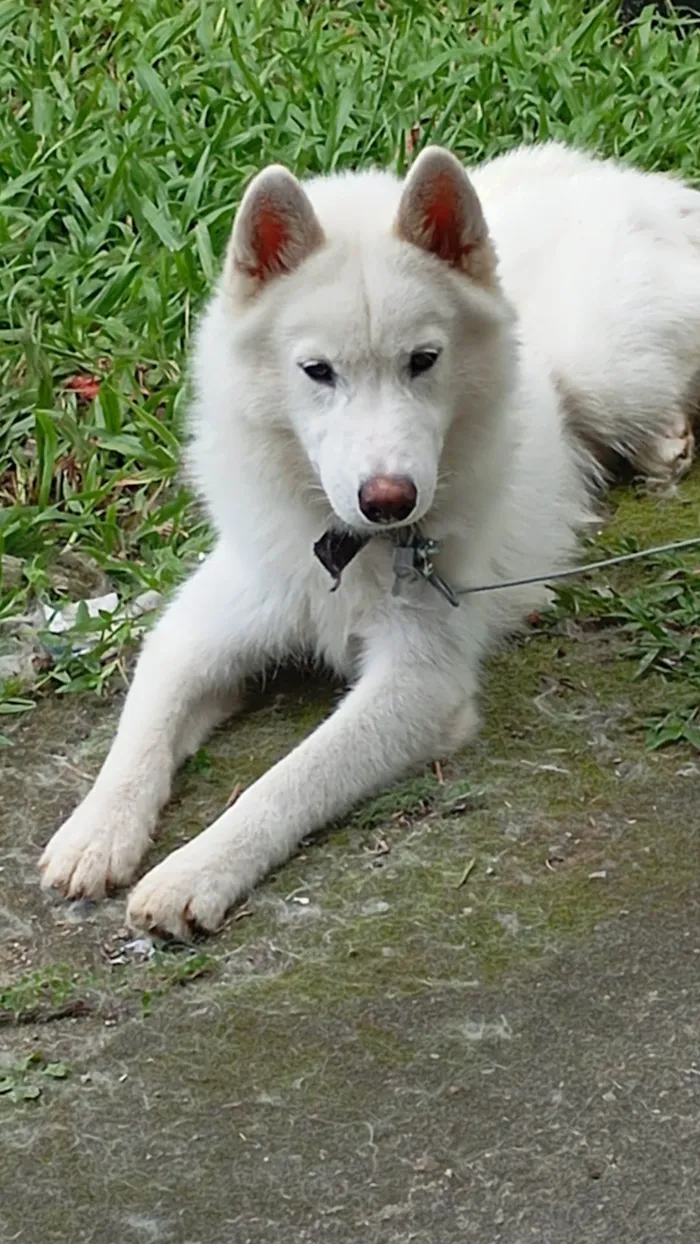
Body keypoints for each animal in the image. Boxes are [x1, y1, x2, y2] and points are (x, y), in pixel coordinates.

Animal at [39, 141, 700, 935]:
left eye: (423, 360)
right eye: (317, 371)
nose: (390, 501)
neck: (343, 547)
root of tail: (630, 182)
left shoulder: (416, 683)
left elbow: (289, 778)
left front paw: (198, 869)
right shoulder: (203, 632)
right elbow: (143, 728)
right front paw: (97, 831)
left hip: (605, 375)